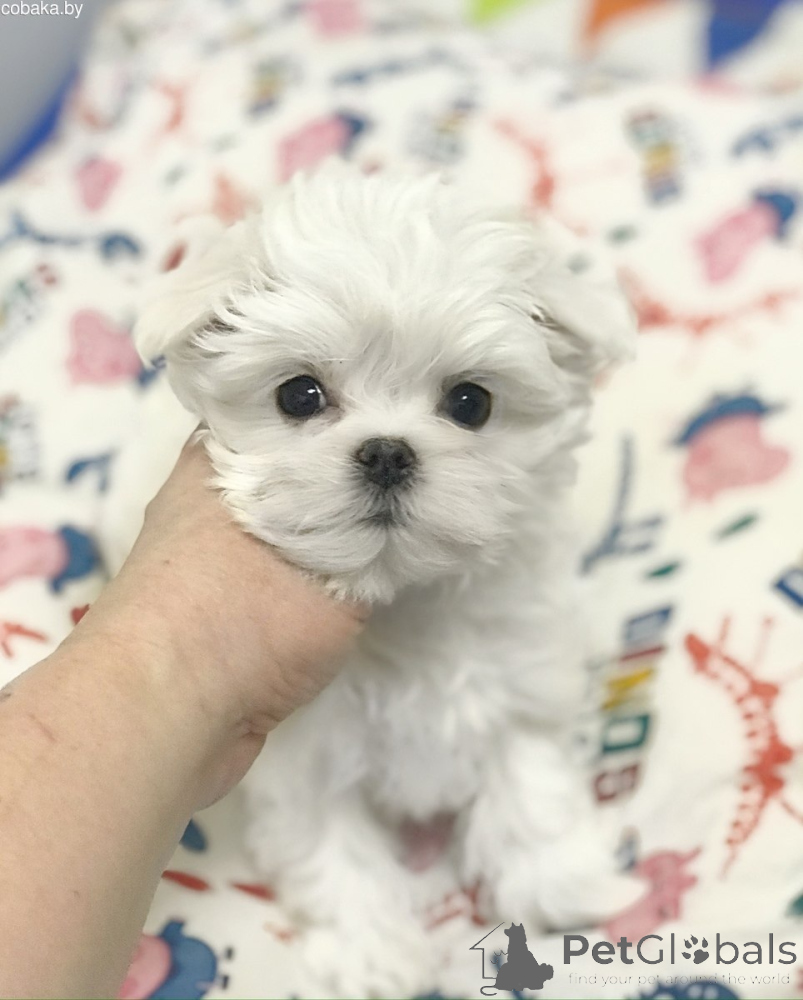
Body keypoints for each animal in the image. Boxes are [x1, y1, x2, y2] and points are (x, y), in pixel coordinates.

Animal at [102, 166, 644, 997]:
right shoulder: (301, 751)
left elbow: (529, 770)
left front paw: (557, 882)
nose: (387, 452)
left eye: (470, 402)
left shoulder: (520, 670)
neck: (401, 602)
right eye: (299, 395)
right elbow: (332, 846)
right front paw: (373, 955)